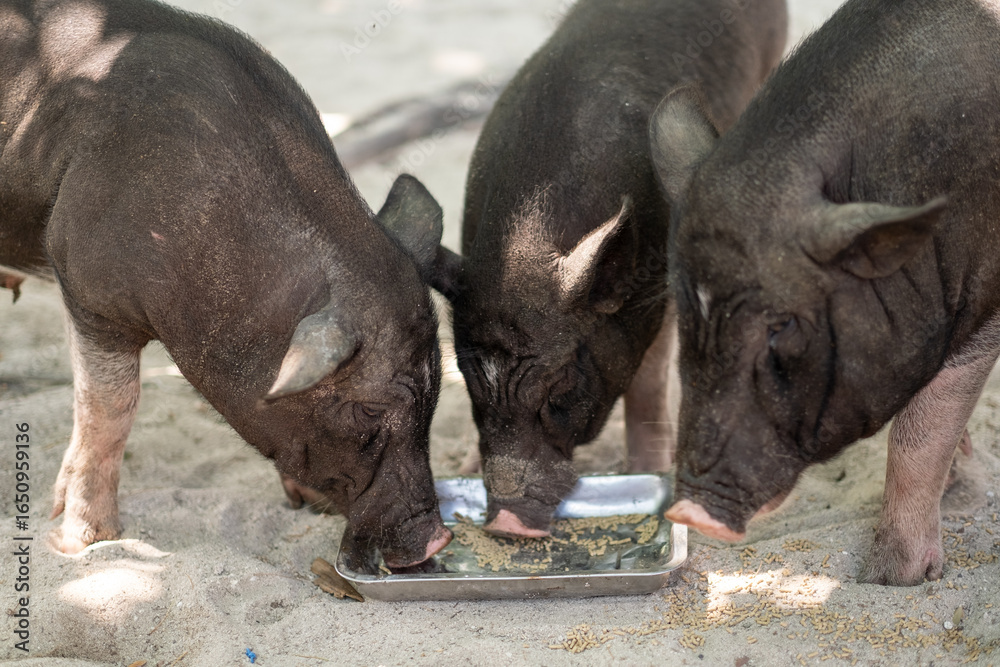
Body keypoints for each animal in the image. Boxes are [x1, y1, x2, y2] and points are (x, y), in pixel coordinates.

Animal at [0, 0, 451, 568]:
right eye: (370, 408)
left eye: (437, 392)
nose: (440, 538)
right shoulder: (85, 283)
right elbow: (109, 408)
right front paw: (81, 543)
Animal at [431, 0, 788, 537]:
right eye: (470, 380)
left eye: (560, 386)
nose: (505, 525)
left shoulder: (660, 286)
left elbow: (648, 379)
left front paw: (652, 468)